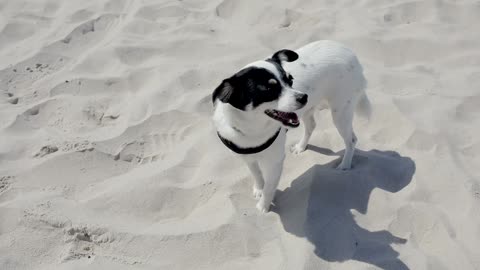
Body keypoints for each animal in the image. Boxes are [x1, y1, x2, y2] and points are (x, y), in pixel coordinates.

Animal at [210, 40, 372, 213]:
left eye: (291, 80)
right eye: (268, 89)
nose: (303, 97)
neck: (252, 130)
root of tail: (348, 51)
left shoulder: (274, 163)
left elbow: (269, 187)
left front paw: (263, 207)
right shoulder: (247, 158)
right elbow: (257, 174)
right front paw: (259, 189)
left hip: (340, 112)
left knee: (352, 140)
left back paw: (345, 165)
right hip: (312, 110)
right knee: (311, 125)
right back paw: (301, 147)